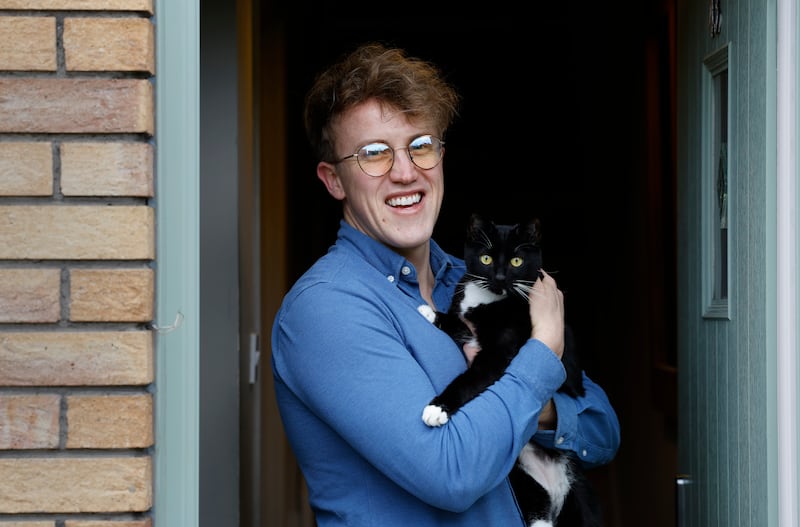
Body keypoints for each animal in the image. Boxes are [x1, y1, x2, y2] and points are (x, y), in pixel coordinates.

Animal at [418, 213, 600, 527]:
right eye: (486, 258)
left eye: (516, 261)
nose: (501, 278)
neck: (487, 299)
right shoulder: (469, 327)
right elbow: (458, 323)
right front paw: (431, 313)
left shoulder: (500, 354)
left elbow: (470, 379)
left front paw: (438, 408)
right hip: (525, 485)